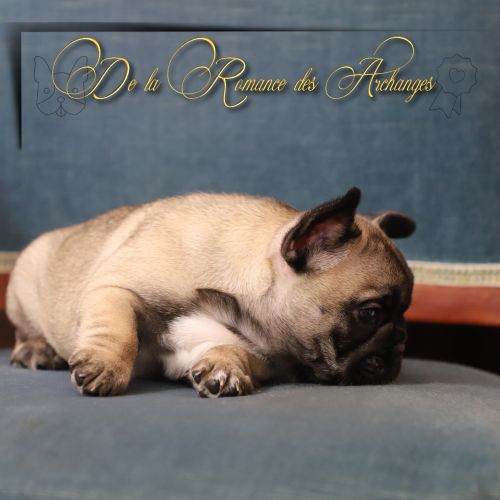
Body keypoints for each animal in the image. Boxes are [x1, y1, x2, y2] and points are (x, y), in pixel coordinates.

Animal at [6, 188, 415, 397]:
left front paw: (226, 367)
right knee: (25, 330)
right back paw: (38, 350)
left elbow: (237, 352)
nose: (400, 343)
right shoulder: (115, 288)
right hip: (25, 287)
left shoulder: (265, 357)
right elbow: (117, 330)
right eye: (371, 313)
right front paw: (105, 366)